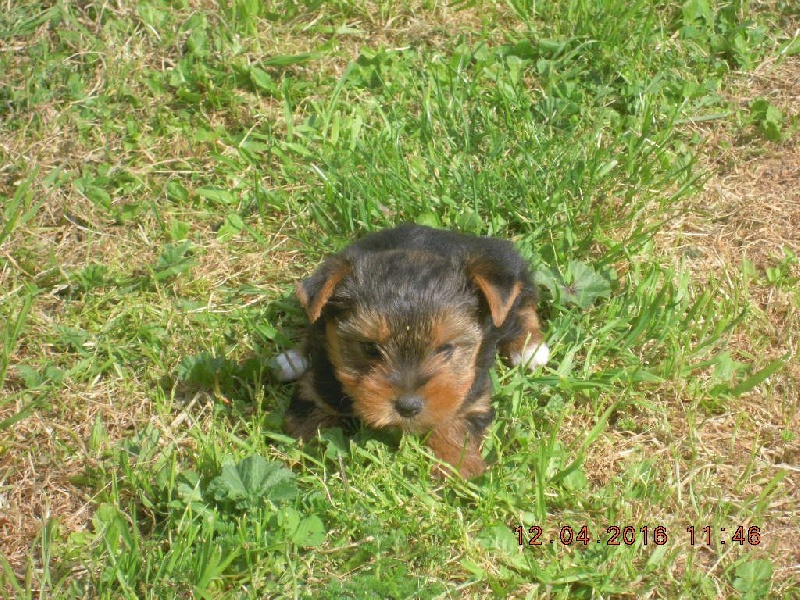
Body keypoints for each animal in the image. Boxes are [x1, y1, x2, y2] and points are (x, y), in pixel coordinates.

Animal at [285, 224, 549, 478]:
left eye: (445, 348)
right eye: (370, 348)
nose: (408, 407)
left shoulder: (471, 394)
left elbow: (455, 422)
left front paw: (459, 465)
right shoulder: (316, 387)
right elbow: (312, 419)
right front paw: (313, 455)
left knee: (523, 302)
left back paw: (530, 347)